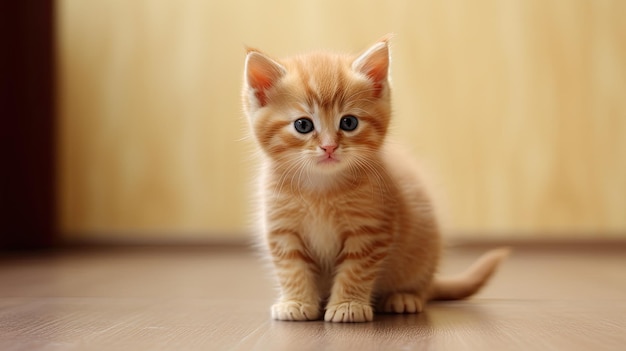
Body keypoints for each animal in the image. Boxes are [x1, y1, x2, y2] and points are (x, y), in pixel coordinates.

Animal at [239, 37, 508, 324]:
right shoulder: (283, 230)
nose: (329, 147)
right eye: (303, 125)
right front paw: (296, 301)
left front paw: (348, 305)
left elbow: (356, 269)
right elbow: (291, 268)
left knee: (422, 288)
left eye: (348, 122)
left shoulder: (370, 231)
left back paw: (403, 297)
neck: (321, 189)